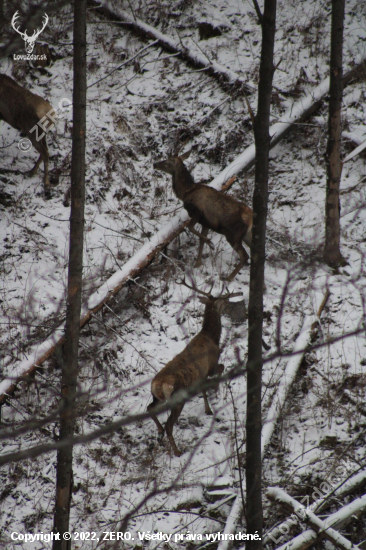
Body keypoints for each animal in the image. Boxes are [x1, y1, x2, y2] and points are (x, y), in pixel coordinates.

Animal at [147, 280, 242, 458]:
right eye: (223, 301)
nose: (230, 302)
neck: (212, 337)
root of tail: (159, 384)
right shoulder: (211, 366)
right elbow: (221, 368)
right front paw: (215, 391)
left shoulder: (201, 375)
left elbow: (203, 389)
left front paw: (208, 409)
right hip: (177, 398)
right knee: (169, 424)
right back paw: (177, 451)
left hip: (157, 396)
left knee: (150, 408)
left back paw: (160, 431)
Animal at [153, 150, 253, 282]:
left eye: (166, 162)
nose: (155, 164)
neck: (185, 193)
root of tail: (251, 218)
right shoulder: (206, 222)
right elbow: (200, 240)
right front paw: (197, 263)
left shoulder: (197, 212)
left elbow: (190, 228)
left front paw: (210, 243)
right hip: (247, 235)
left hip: (233, 234)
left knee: (245, 256)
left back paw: (228, 278)